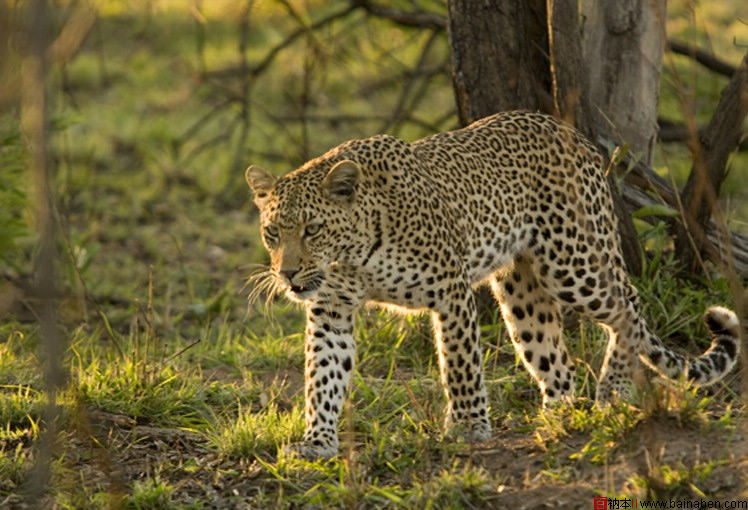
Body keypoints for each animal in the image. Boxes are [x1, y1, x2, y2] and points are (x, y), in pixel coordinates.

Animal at [247, 110, 744, 458]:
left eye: (312, 230)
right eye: (272, 233)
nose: (287, 274)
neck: (353, 259)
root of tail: (579, 139)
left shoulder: (450, 290)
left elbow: (460, 364)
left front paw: (468, 427)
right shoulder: (330, 310)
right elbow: (323, 377)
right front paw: (317, 440)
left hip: (575, 263)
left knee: (629, 305)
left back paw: (612, 391)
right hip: (523, 292)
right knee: (555, 358)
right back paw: (559, 417)